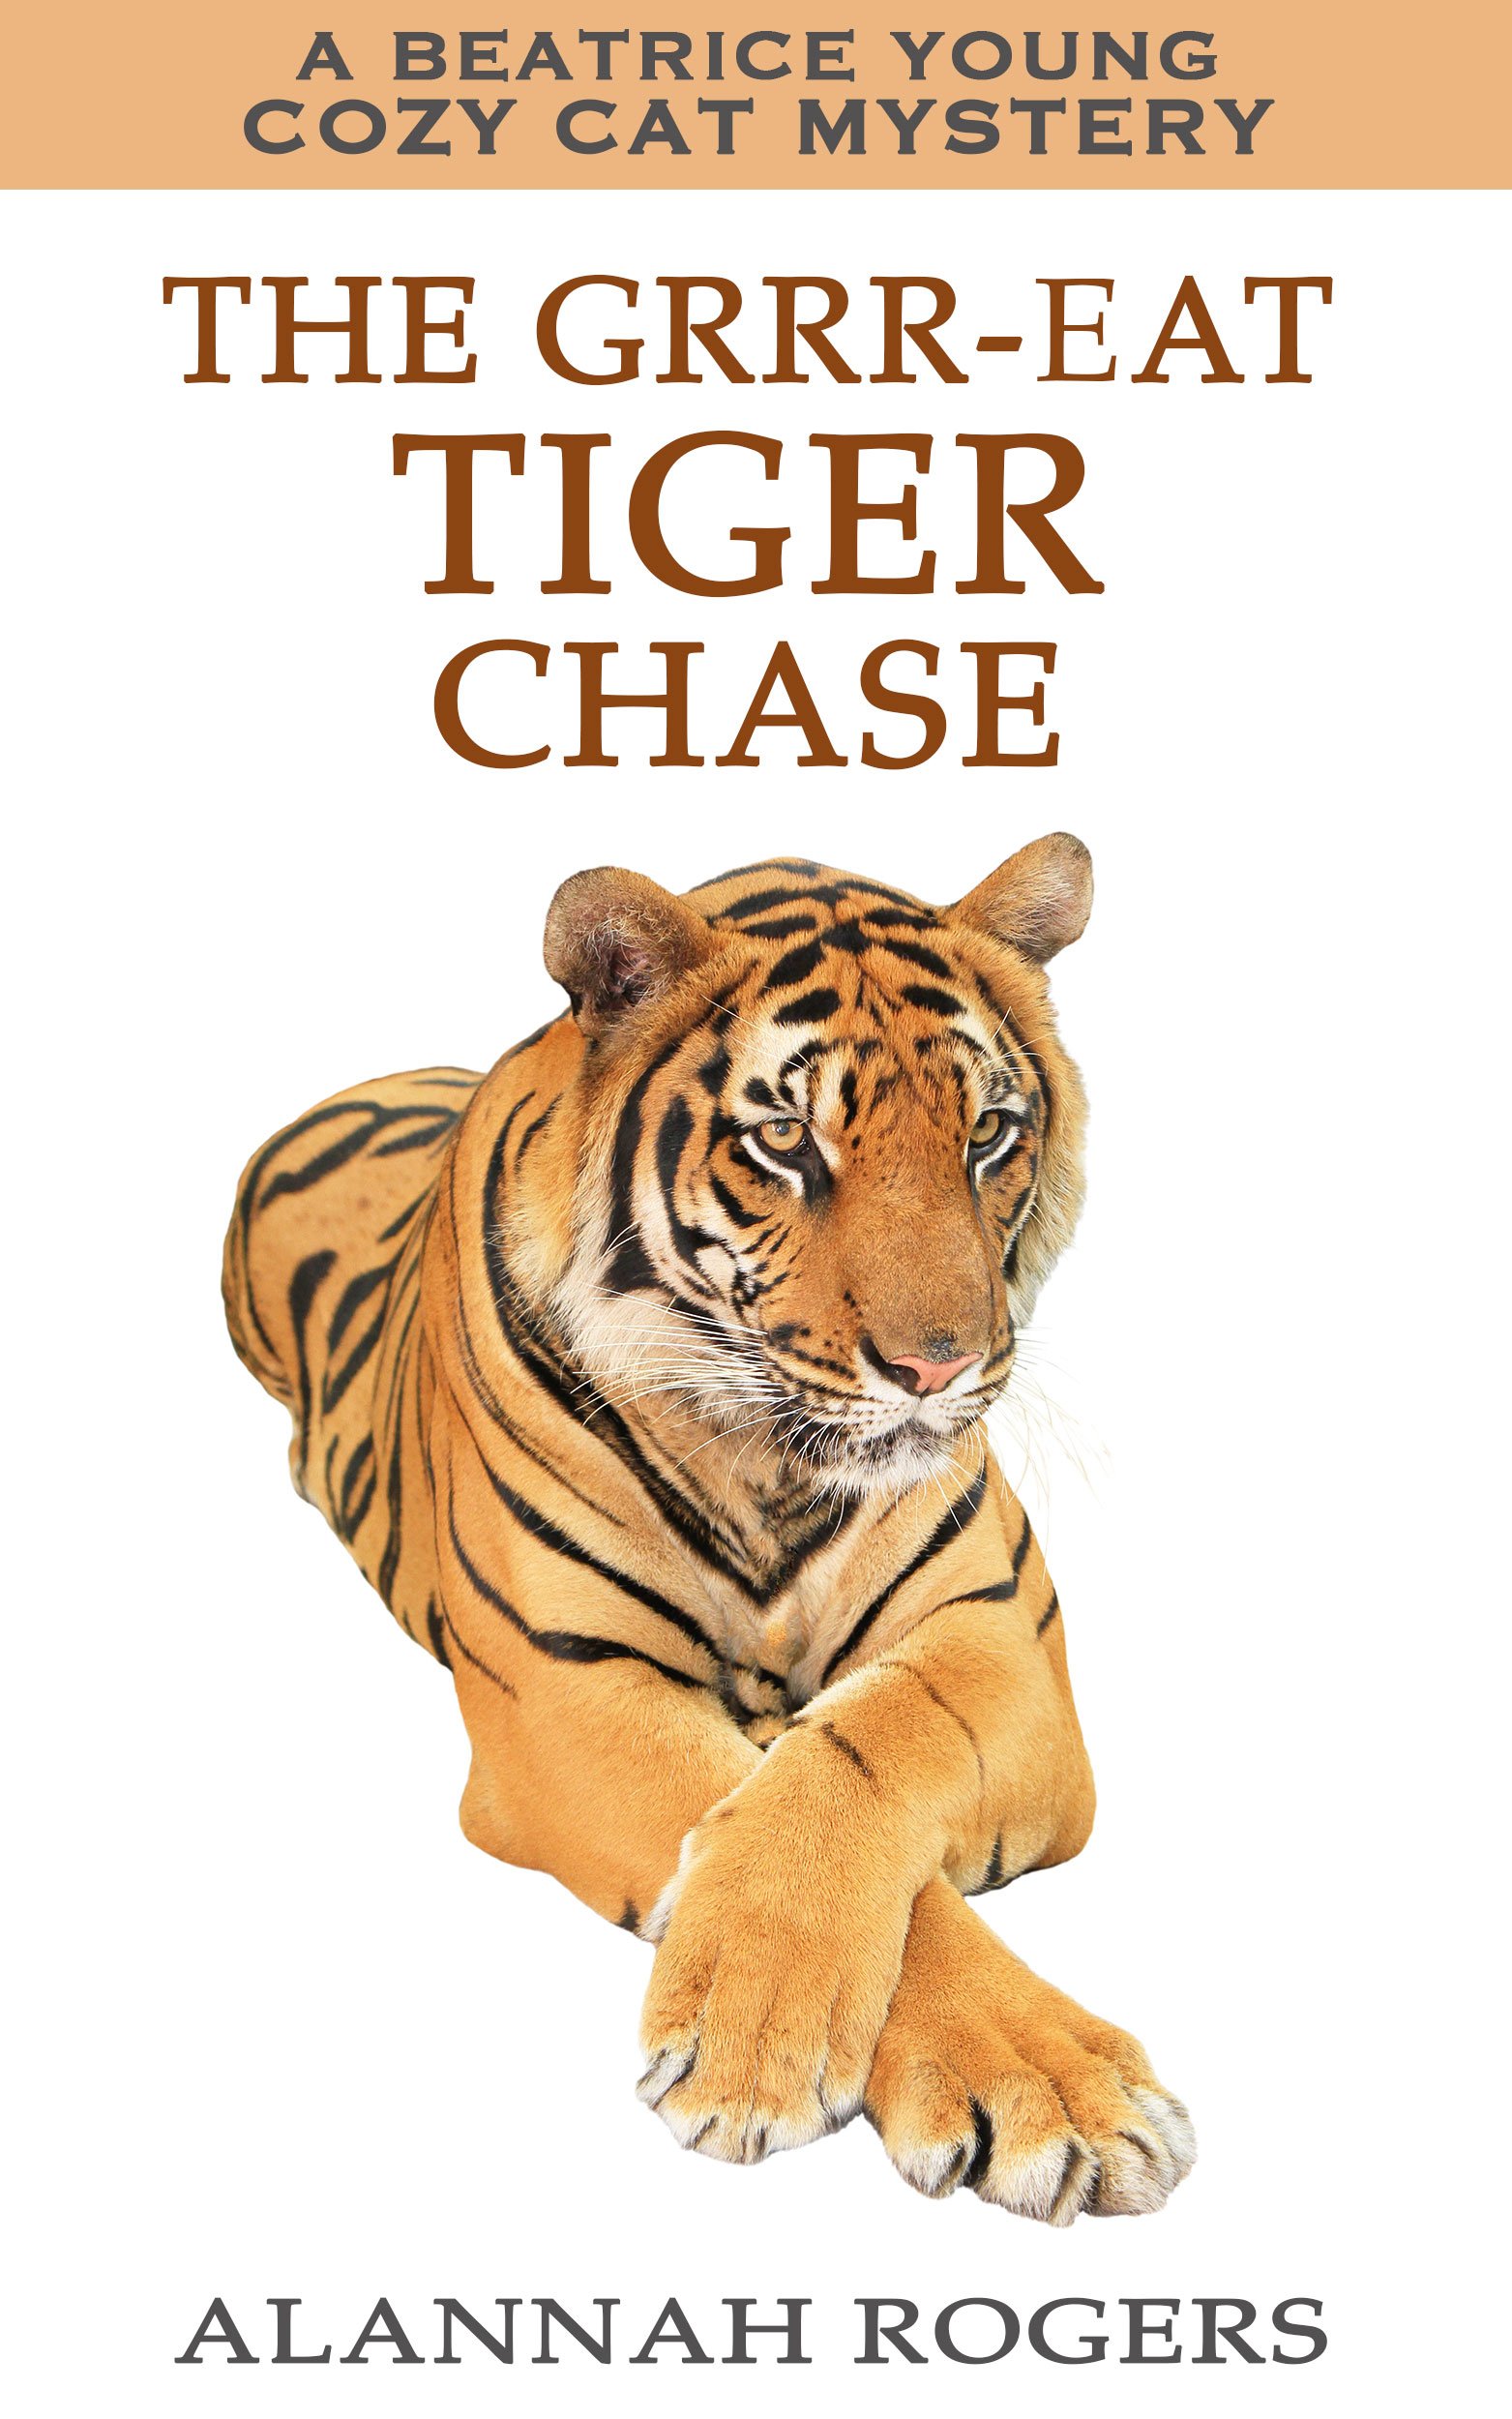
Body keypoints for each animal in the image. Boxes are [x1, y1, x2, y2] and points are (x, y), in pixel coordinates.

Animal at [222, 831, 1194, 2225]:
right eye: (786, 1138)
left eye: (988, 1132)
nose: (937, 1369)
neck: (769, 1461)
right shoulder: (566, 1690)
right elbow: (769, 1811)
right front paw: (763, 2042)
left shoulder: (998, 1638)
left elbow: (853, 1759)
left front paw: (1054, 2090)